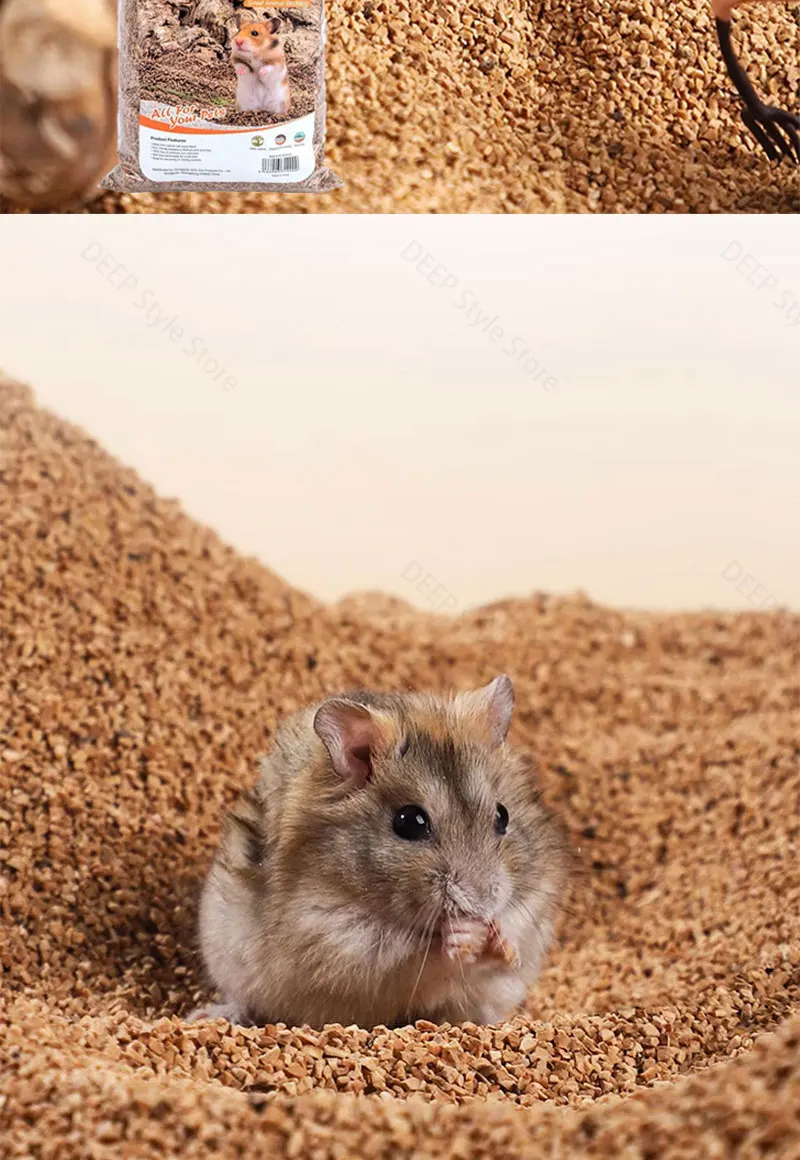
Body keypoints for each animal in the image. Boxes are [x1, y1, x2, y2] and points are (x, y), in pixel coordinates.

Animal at [190, 676, 569, 1030]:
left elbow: (511, 939)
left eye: (502, 815)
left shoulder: (532, 907)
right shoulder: (336, 938)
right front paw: (463, 936)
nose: (484, 904)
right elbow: (417, 954)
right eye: (410, 822)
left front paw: (497, 939)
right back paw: (209, 1015)